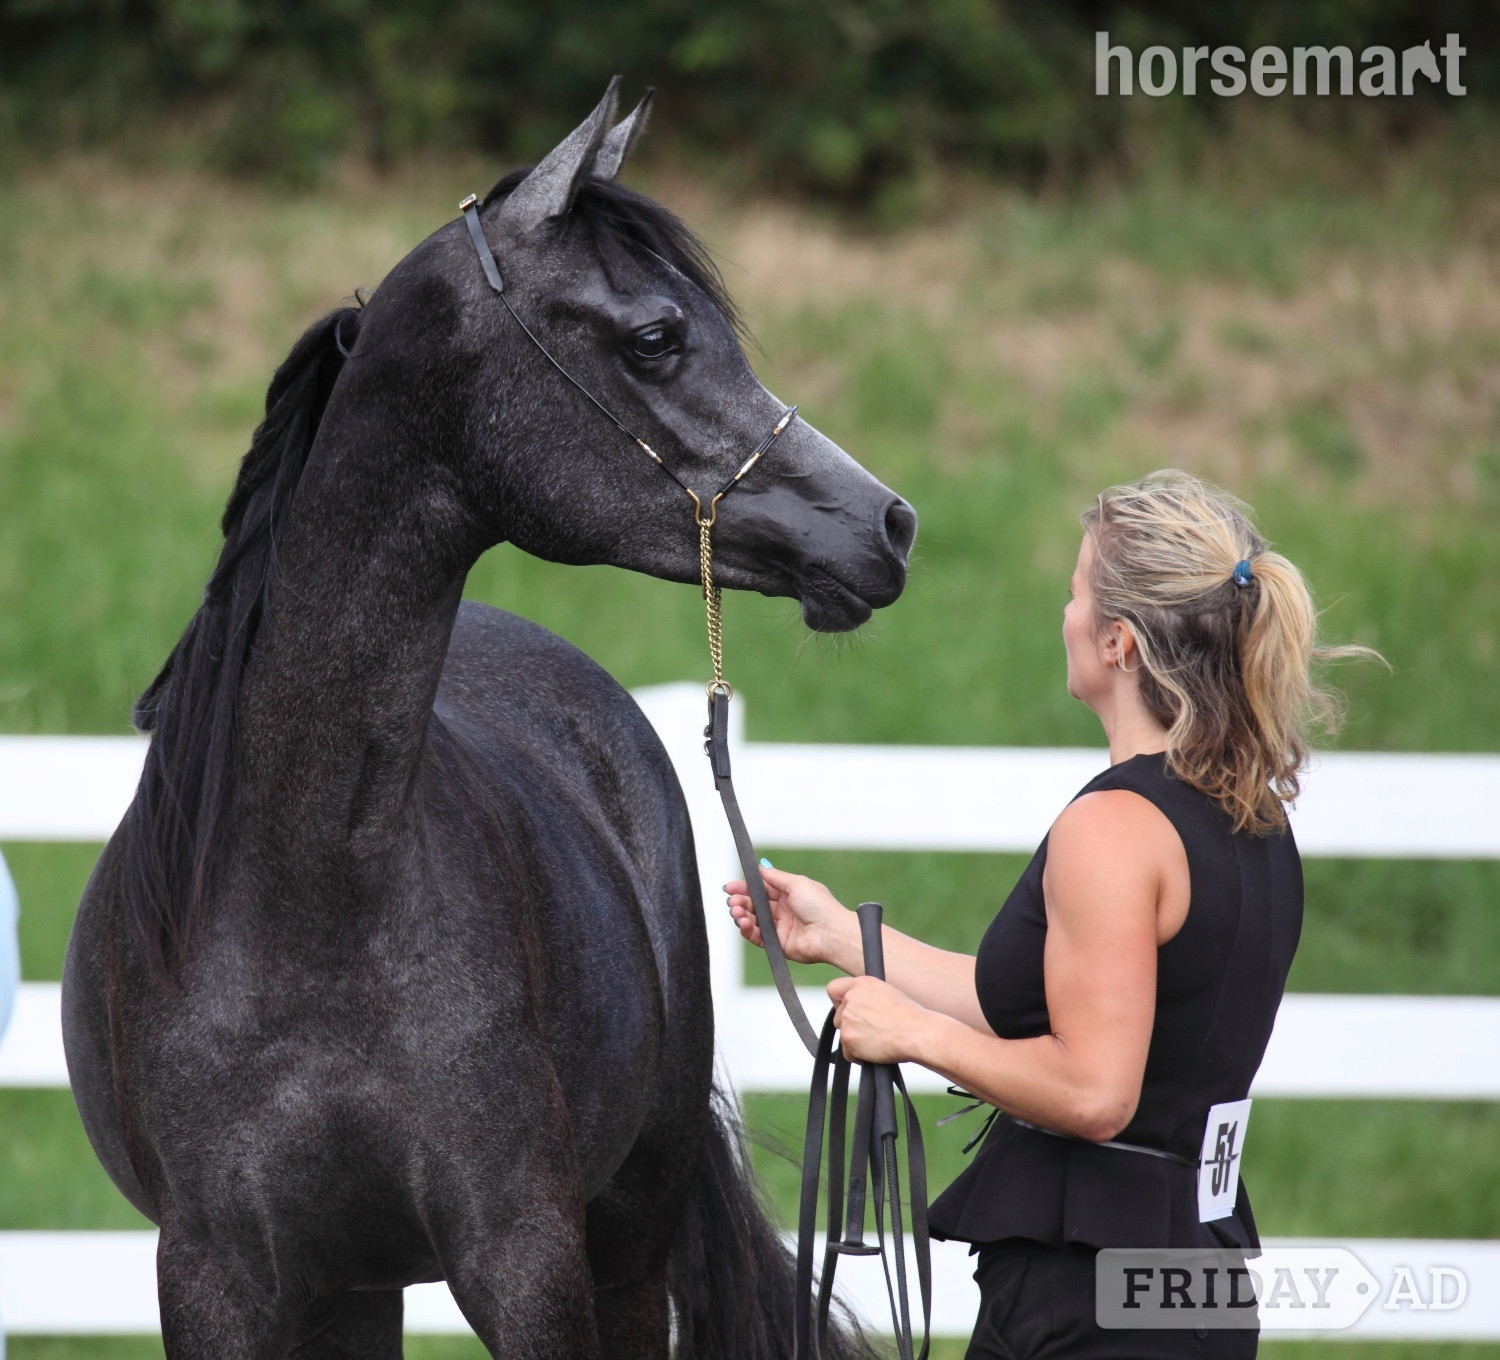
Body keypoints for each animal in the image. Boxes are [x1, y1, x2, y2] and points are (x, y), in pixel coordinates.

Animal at [60, 79, 916, 1359]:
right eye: (656, 337)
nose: (890, 524)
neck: (310, 910)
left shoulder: (526, 1259)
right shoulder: (218, 1283)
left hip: (625, 1246)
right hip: (355, 1291)